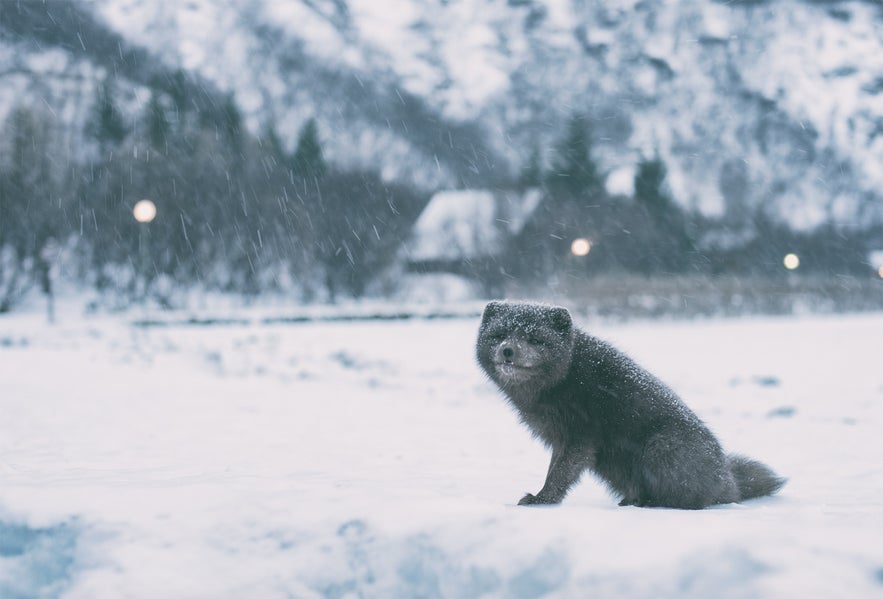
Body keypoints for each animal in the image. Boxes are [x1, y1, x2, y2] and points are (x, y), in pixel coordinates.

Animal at [476, 302, 788, 508]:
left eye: (535, 339)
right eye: (499, 334)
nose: (507, 351)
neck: (565, 377)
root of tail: (729, 480)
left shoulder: (579, 436)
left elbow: (560, 473)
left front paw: (542, 500)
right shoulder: (561, 438)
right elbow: (555, 468)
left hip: (661, 446)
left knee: (693, 501)